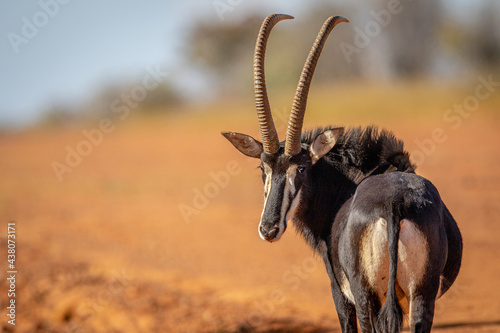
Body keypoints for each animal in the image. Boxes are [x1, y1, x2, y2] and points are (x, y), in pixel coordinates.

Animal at [221, 14, 462, 330]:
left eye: (301, 167)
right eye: (263, 167)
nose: (269, 230)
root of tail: (395, 203)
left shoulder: (339, 291)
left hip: (366, 295)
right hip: (421, 294)